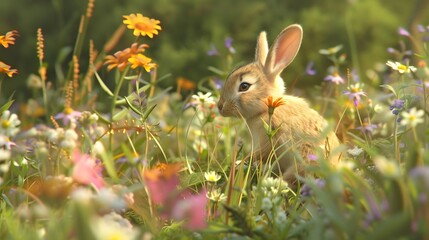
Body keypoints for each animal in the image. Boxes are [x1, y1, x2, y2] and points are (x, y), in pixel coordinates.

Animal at [217, 24, 342, 184]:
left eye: (244, 86)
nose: (220, 106)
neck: (266, 109)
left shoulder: (269, 140)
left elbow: (260, 153)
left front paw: (240, 163)